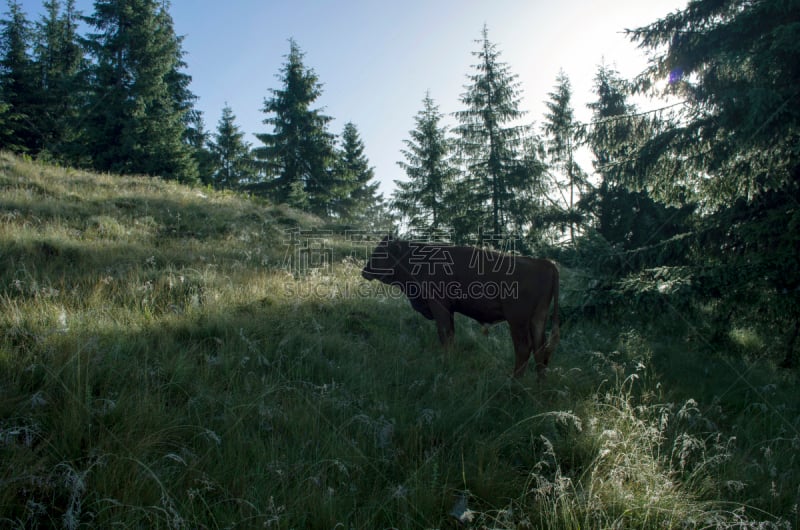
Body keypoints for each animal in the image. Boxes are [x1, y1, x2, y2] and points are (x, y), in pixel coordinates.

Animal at [364, 234, 560, 376]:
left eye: (380, 253)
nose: (364, 271)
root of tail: (545, 263)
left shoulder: (439, 306)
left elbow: (445, 335)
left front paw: (446, 364)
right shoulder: (448, 310)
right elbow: (450, 335)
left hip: (517, 321)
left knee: (523, 349)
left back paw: (514, 383)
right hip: (537, 319)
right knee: (540, 350)